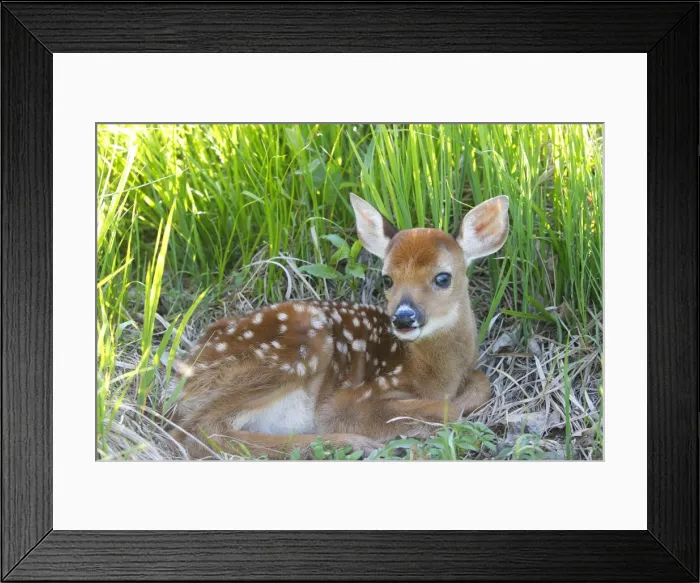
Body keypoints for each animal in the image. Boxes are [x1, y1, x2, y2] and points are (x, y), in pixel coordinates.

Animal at [169, 193, 510, 459]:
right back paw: (349, 444)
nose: (403, 317)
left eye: (442, 277)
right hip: (299, 344)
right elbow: (447, 410)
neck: (433, 373)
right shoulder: (351, 398)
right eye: (387, 279)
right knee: (198, 431)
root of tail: (186, 370)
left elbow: (482, 382)